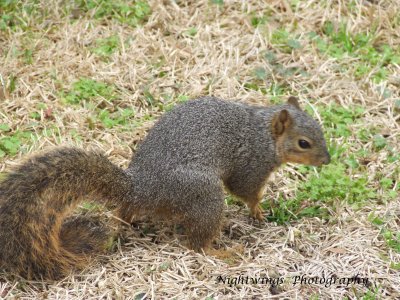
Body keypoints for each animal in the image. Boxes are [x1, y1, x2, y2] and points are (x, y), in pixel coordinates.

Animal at [0, 95, 332, 278]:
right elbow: (245, 190)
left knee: (126, 211)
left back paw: (123, 220)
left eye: (320, 129)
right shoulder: (252, 162)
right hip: (204, 194)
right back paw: (222, 252)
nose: (327, 160)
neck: (264, 132)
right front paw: (259, 210)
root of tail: (142, 187)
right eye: (304, 143)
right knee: (196, 244)